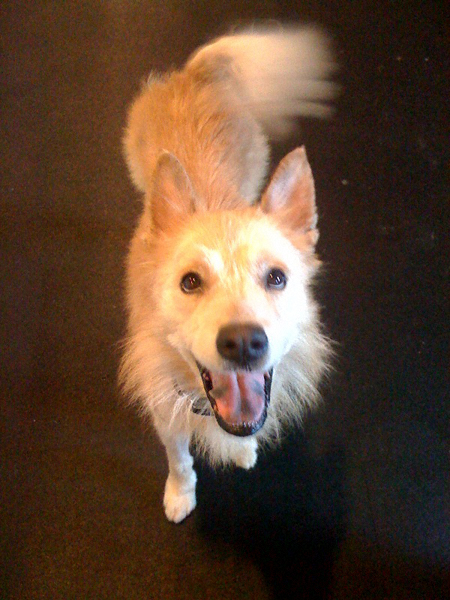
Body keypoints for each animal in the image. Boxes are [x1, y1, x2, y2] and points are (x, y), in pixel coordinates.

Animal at [119, 26, 336, 523]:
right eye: (190, 281)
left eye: (276, 277)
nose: (243, 343)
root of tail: (196, 72)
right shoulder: (167, 418)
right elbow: (179, 461)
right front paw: (180, 495)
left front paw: (242, 452)